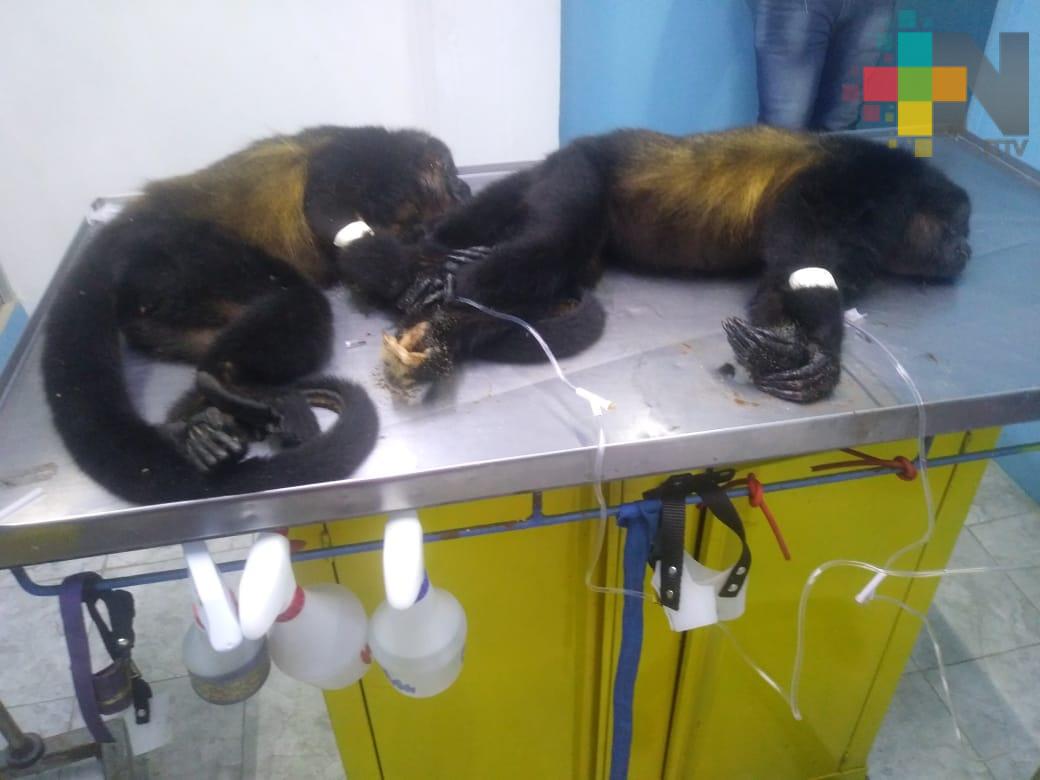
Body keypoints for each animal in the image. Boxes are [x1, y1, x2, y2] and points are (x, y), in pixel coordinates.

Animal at [42, 125, 470, 504]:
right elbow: (323, 198)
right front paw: (400, 274)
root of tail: (124, 227)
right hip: (180, 251)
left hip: (161, 310)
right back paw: (225, 383)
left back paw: (199, 434)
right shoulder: (369, 153)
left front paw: (417, 286)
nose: (465, 187)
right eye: (451, 171)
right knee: (297, 299)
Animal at [368, 126, 971, 402]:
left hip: (546, 184)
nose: (965, 251)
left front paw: (786, 348)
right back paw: (443, 319)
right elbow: (804, 257)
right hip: (577, 175)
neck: (911, 197)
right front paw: (823, 348)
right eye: (961, 228)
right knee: (550, 247)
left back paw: (436, 290)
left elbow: (777, 287)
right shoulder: (861, 184)